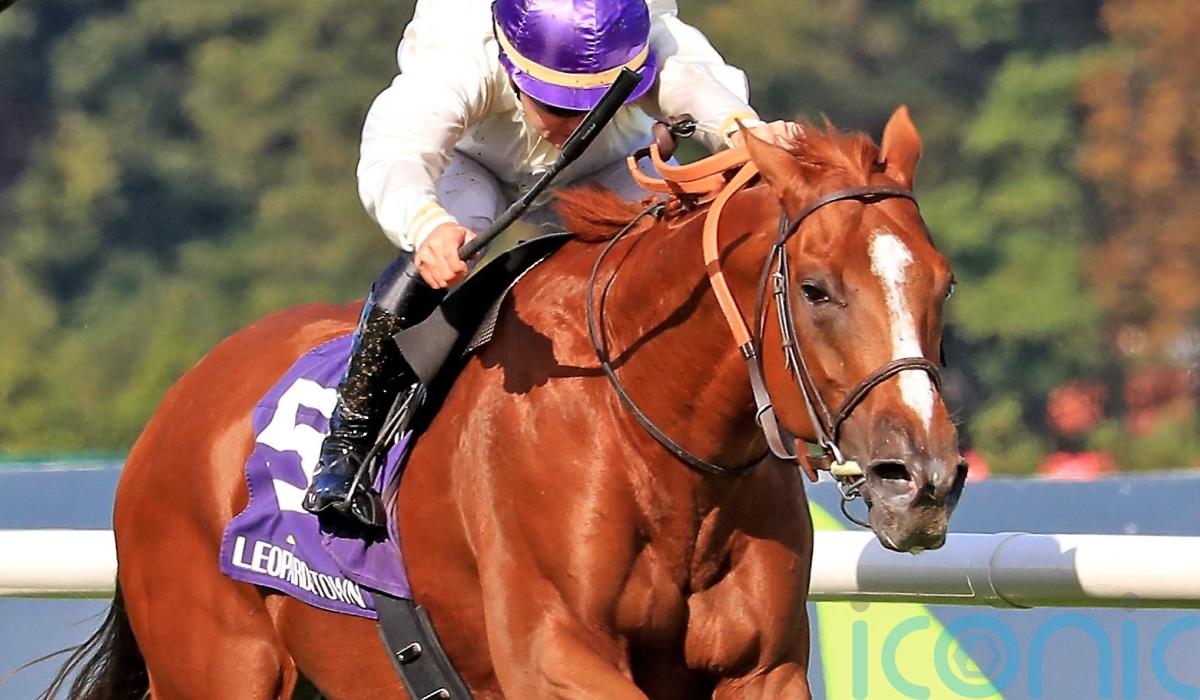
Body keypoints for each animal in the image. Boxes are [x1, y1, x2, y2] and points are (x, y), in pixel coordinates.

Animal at [45, 107, 965, 699]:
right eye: (815, 289)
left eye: (942, 284)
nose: (920, 478)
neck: (653, 446)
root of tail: (178, 409)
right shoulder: (552, 655)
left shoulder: (761, 667)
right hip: (220, 666)